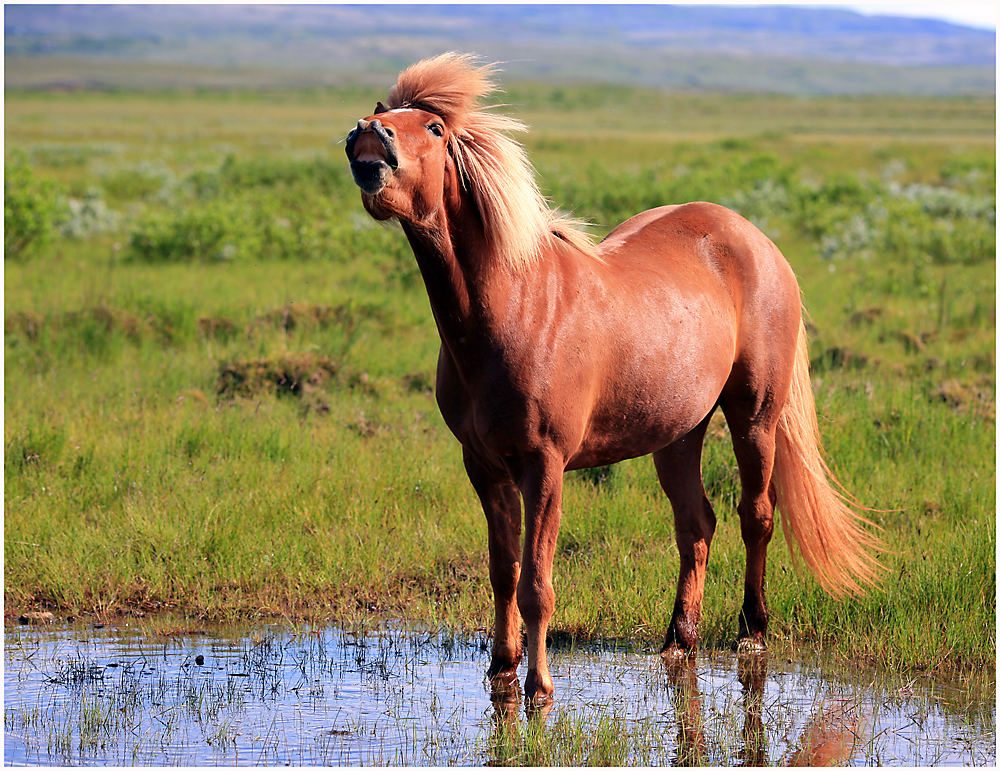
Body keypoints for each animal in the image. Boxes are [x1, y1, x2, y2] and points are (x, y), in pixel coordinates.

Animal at [346, 51, 884, 704]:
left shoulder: (545, 465)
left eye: (432, 128)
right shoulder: (483, 465)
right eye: (383, 116)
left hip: (755, 415)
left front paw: (539, 687)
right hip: (679, 432)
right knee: (696, 525)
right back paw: (678, 640)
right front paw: (501, 669)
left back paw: (752, 631)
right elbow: (503, 572)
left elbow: (536, 583)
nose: (368, 139)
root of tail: (756, 240)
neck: (513, 307)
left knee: (755, 515)